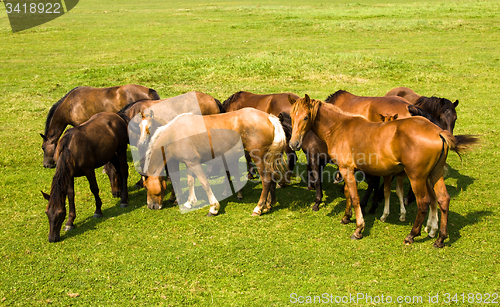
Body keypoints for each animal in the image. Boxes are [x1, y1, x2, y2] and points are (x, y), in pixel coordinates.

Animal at [41, 113, 130, 243]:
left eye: (60, 213)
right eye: (47, 212)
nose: (52, 238)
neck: (69, 149)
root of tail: (117, 116)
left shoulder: (89, 170)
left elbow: (94, 189)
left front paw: (98, 211)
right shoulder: (70, 175)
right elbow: (70, 194)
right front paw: (70, 222)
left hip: (121, 149)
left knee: (123, 170)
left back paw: (124, 199)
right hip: (111, 153)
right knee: (117, 168)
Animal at [143, 108, 288, 217]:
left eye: (146, 186)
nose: (151, 206)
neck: (174, 133)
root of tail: (270, 118)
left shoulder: (194, 163)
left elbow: (205, 183)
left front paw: (213, 208)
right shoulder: (189, 163)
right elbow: (190, 182)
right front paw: (189, 202)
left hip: (259, 158)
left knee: (266, 181)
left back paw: (258, 208)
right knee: (272, 179)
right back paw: (268, 205)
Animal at [288, 95, 474, 249]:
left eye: (305, 117)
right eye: (291, 117)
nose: (293, 144)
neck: (339, 127)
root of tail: (438, 131)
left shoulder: (347, 169)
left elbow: (354, 197)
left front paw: (358, 228)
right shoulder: (346, 170)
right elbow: (348, 193)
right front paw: (346, 217)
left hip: (417, 177)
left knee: (423, 203)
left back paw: (412, 235)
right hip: (434, 175)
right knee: (443, 200)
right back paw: (440, 238)